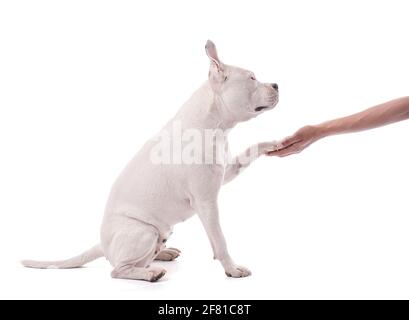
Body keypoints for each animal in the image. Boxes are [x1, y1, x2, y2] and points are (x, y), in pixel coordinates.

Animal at [21, 40, 278, 282]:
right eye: (252, 78)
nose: (277, 84)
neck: (215, 125)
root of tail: (103, 244)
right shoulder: (206, 202)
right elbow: (220, 241)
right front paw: (232, 269)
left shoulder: (227, 172)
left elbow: (249, 153)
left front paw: (274, 144)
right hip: (144, 231)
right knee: (118, 269)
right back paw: (151, 274)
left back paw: (163, 254)